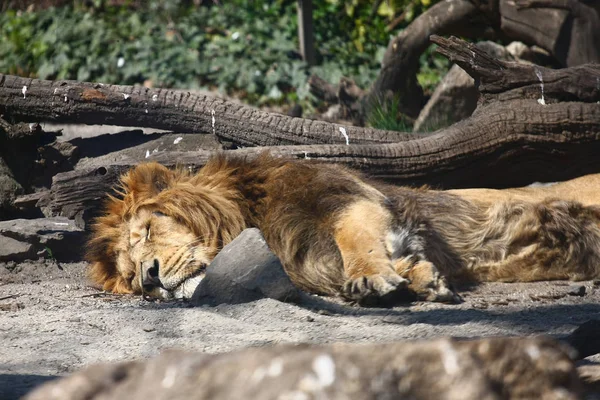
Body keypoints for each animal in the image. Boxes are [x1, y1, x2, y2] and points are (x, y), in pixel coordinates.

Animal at [85, 155, 600, 304]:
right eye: (129, 277)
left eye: (145, 232)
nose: (149, 279)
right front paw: (421, 277)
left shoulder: (344, 199)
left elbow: (355, 240)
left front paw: (371, 278)